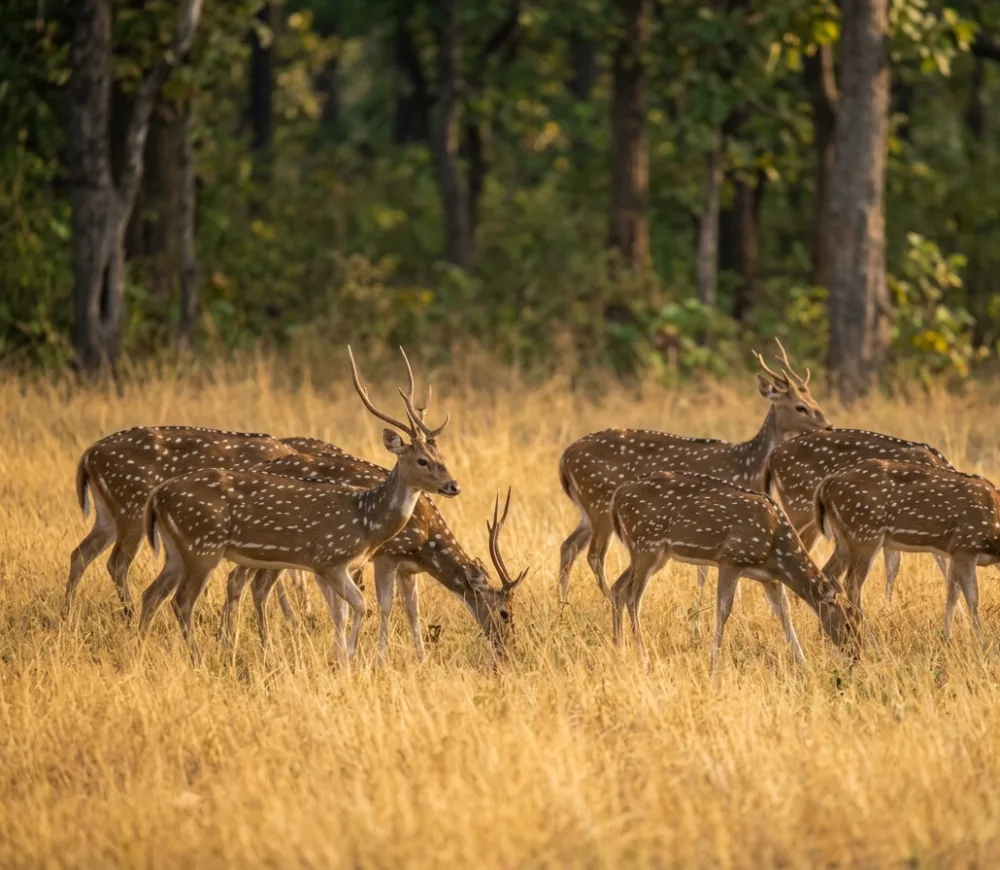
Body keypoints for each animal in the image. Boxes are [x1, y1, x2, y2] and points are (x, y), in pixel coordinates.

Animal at [137, 346, 460, 663]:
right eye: (423, 461)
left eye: (442, 456)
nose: (453, 486)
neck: (367, 520)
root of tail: (157, 496)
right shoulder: (330, 558)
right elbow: (360, 606)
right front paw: (351, 657)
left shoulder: (332, 567)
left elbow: (342, 611)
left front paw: (343, 658)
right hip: (202, 545)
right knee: (181, 601)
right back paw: (199, 660)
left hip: (177, 550)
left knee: (151, 594)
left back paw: (139, 652)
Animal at [218, 452, 525, 660]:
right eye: (505, 612)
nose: (507, 650)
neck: (426, 542)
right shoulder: (386, 555)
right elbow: (386, 606)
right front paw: (380, 660)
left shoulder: (408, 568)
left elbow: (413, 609)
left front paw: (422, 659)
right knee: (250, 583)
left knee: (240, 579)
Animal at [557, 339, 830, 603]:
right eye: (800, 407)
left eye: (815, 401)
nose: (828, 425)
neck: (749, 467)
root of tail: (565, 458)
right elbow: (708, 571)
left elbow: (704, 569)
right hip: (601, 502)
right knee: (594, 555)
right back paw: (603, 600)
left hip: (588, 510)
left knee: (568, 546)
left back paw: (563, 601)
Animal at [609, 471, 863, 671]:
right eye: (848, 624)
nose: (856, 656)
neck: (777, 550)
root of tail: (617, 496)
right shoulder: (730, 558)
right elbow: (723, 610)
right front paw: (714, 665)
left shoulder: (770, 578)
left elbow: (784, 612)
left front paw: (804, 664)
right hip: (646, 543)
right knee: (632, 597)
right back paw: (644, 659)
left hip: (651, 553)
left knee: (617, 588)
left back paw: (618, 648)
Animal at [814, 459, 1000, 637]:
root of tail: (825, 485)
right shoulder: (965, 546)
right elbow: (972, 597)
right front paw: (980, 640)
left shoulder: (954, 551)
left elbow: (952, 593)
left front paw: (947, 636)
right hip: (864, 533)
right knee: (851, 585)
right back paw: (868, 635)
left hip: (844, 540)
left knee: (828, 575)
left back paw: (826, 631)